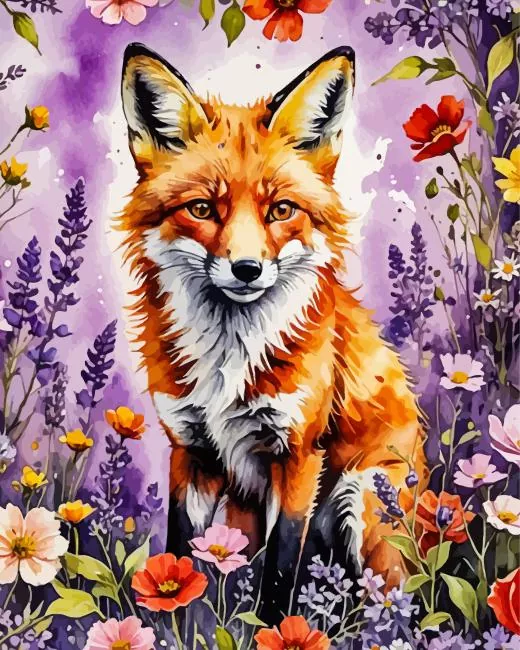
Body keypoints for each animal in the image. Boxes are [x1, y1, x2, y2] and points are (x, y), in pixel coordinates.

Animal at [118, 42, 428, 623]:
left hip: (365, 497)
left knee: (393, 600)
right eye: (202, 209)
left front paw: (275, 632)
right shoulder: (189, 450)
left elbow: (281, 576)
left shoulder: (299, 455)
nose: (246, 269)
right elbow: (180, 559)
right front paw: (169, 626)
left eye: (280, 210)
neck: (228, 359)